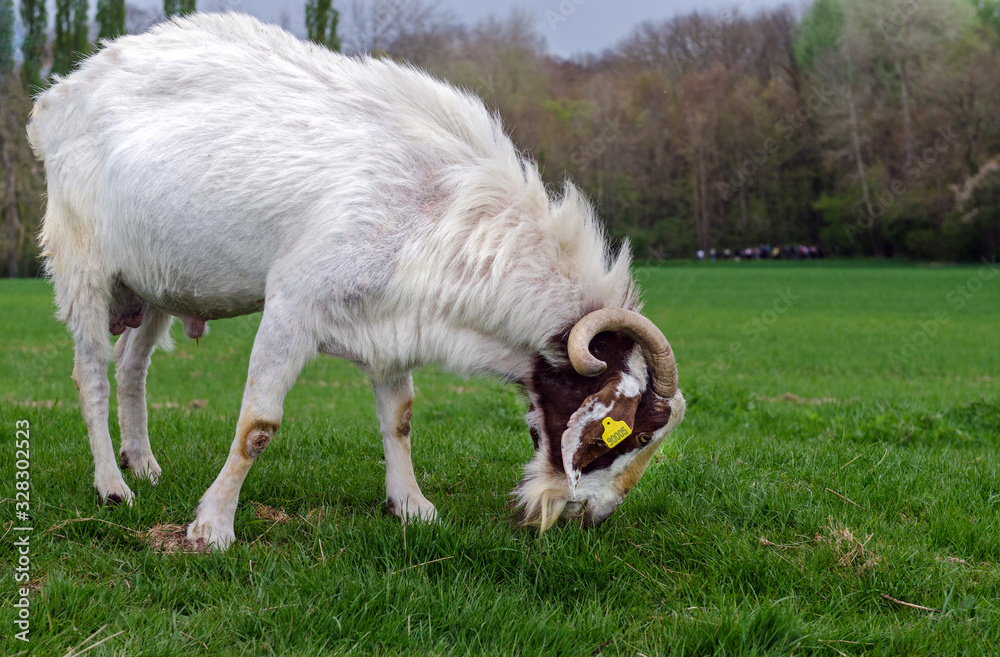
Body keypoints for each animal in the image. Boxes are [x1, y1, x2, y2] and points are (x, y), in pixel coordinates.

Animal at [28, 13, 685, 550]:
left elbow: (400, 417)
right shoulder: (292, 308)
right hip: (84, 266)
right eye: (622, 436)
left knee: (132, 367)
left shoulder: (394, 317)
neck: (437, 206)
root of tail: (58, 98)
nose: (590, 517)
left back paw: (142, 462)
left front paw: (411, 505)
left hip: (156, 284)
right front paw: (212, 526)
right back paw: (112, 485)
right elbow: (257, 427)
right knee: (92, 374)